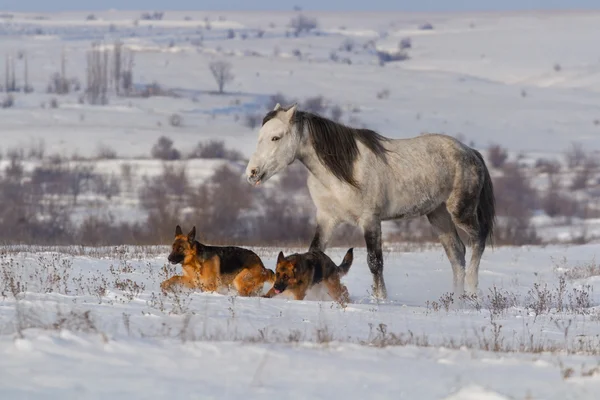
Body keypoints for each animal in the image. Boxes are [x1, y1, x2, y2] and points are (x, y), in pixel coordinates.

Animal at [246, 104, 494, 300]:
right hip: (438, 215)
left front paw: (380, 299)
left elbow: (375, 262)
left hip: (461, 212)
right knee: (457, 254)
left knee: (477, 241)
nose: (252, 173)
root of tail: (470, 152)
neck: (342, 173)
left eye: (276, 137)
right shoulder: (327, 219)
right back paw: (457, 299)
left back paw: (472, 291)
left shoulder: (370, 220)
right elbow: (314, 252)